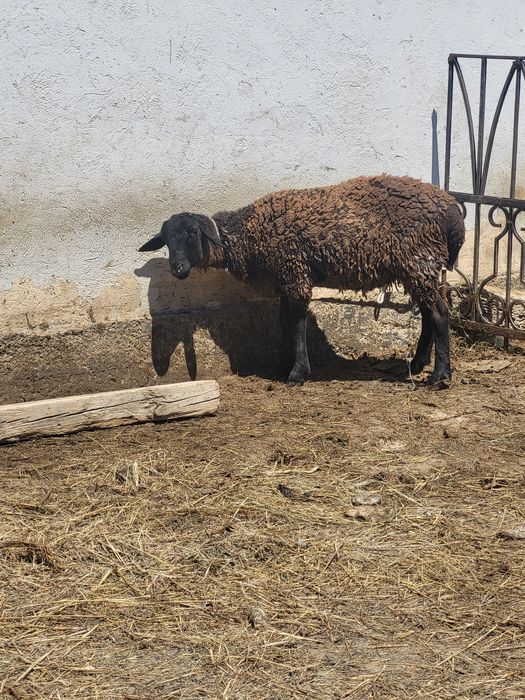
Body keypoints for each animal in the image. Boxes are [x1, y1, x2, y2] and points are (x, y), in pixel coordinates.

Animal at [139, 175, 465, 387]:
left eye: (192, 233)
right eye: (166, 240)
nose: (178, 269)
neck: (249, 234)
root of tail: (452, 211)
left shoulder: (294, 274)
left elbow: (296, 325)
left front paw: (297, 374)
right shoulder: (285, 279)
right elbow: (284, 323)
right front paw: (283, 367)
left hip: (418, 259)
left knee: (439, 313)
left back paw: (439, 376)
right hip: (418, 267)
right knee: (428, 314)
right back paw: (417, 364)